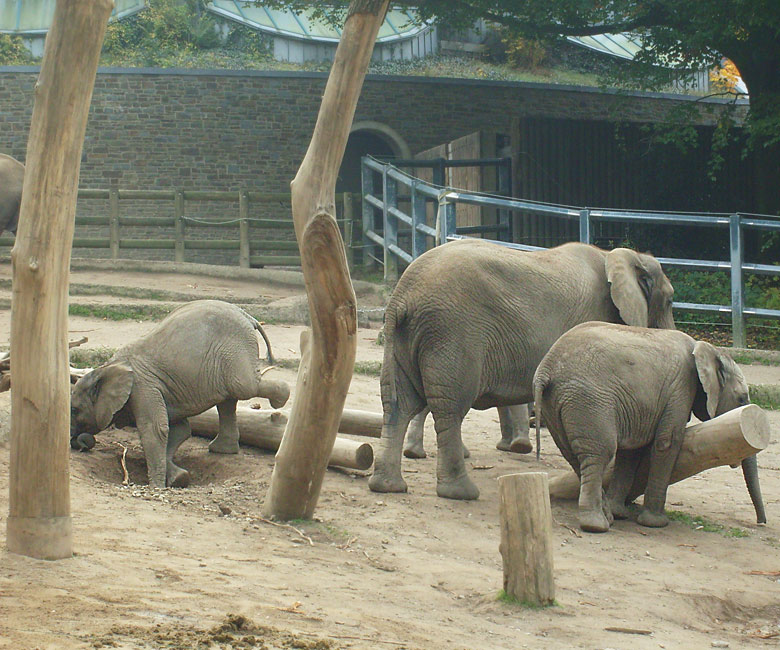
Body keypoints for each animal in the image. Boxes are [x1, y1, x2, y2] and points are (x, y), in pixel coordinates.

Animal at [69, 298, 290, 486]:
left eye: (75, 410)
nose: (81, 442)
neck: (104, 369)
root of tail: (247, 315)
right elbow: (180, 429)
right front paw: (179, 478)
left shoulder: (143, 385)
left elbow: (155, 429)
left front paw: (156, 486)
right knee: (228, 399)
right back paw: (222, 450)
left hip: (235, 349)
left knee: (243, 387)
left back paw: (281, 399)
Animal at [368, 237, 672, 496]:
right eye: (670, 300)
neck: (617, 256)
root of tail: (400, 298)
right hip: (451, 332)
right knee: (450, 407)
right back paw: (461, 493)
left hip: (407, 337)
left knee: (399, 404)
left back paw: (388, 486)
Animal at [536, 322, 756, 532]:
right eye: (741, 398)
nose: (760, 522)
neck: (706, 348)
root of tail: (545, 368)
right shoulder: (682, 387)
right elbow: (667, 443)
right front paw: (655, 523)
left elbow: (632, 449)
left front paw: (620, 513)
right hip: (589, 399)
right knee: (599, 454)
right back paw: (596, 525)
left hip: (556, 403)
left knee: (574, 456)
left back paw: (608, 516)